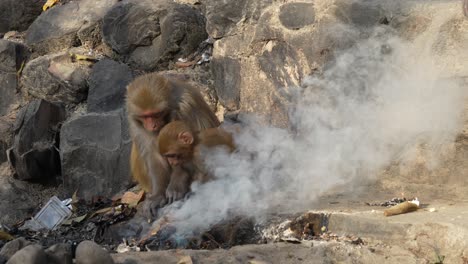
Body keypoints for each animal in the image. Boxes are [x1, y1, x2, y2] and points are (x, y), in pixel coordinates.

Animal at [124, 72, 219, 217]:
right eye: (146, 116)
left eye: (156, 114)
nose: (153, 125)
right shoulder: (136, 123)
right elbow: (153, 155)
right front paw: (157, 196)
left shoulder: (187, 107)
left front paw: (176, 185)